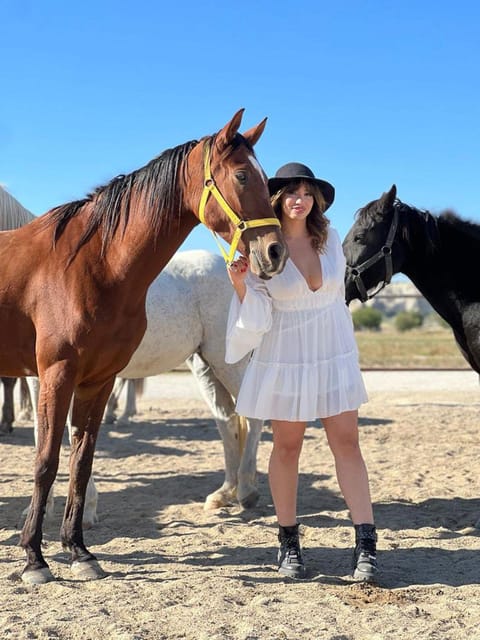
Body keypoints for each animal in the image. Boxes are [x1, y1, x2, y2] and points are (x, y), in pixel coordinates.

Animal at [26, 250, 264, 524]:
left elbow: (74, 435)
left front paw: (85, 509)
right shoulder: (39, 377)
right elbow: (42, 434)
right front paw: (41, 510)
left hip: (228, 361)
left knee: (253, 417)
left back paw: (246, 491)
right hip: (206, 365)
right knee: (227, 422)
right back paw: (224, 493)